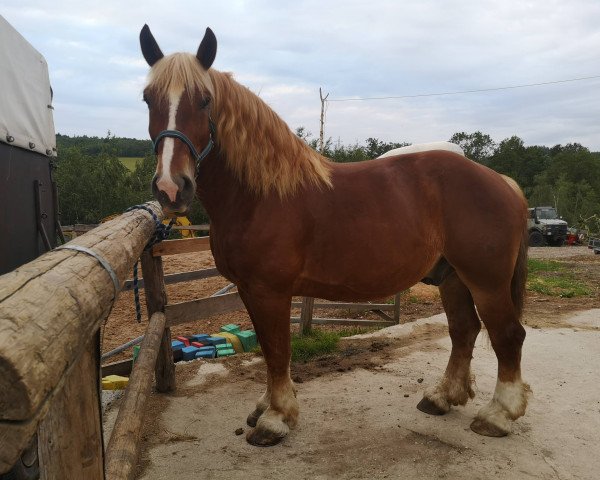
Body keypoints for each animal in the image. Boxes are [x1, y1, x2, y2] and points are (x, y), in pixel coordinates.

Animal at [138, 25, 528, 446]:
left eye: (205, 100)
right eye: (147, 99)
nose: (171, 188)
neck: (262, 195)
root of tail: (501, 181)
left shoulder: (270, 290)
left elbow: (278, 350)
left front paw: (276, 418)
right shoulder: (247, 289)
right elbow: (268, 348)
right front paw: (265, 407)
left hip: (486, 281)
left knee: (507, 335)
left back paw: (498, 415)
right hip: (452, 277)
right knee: (464, 330)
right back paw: (441, 397)